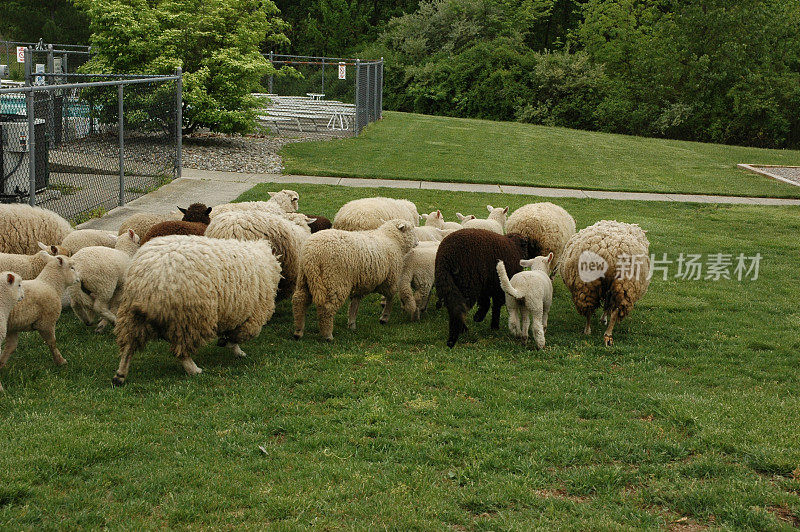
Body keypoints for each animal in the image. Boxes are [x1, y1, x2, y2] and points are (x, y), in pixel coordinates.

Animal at [0, 254, 79, 390]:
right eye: (72, 267)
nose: (79, 278)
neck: (51, 284)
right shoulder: (46, 322)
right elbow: (52, 343)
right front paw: (60, 361)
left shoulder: (13, 328)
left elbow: (11, 347)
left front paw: (2, 364)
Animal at [560, 219, 652, 348]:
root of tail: (609, 251)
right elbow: (608, 306)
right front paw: (603, 319)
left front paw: (603, 319)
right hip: (623, 284)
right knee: (614, 310)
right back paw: (606, 334)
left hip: (592, 283)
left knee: (592, 309)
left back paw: (591, 331)